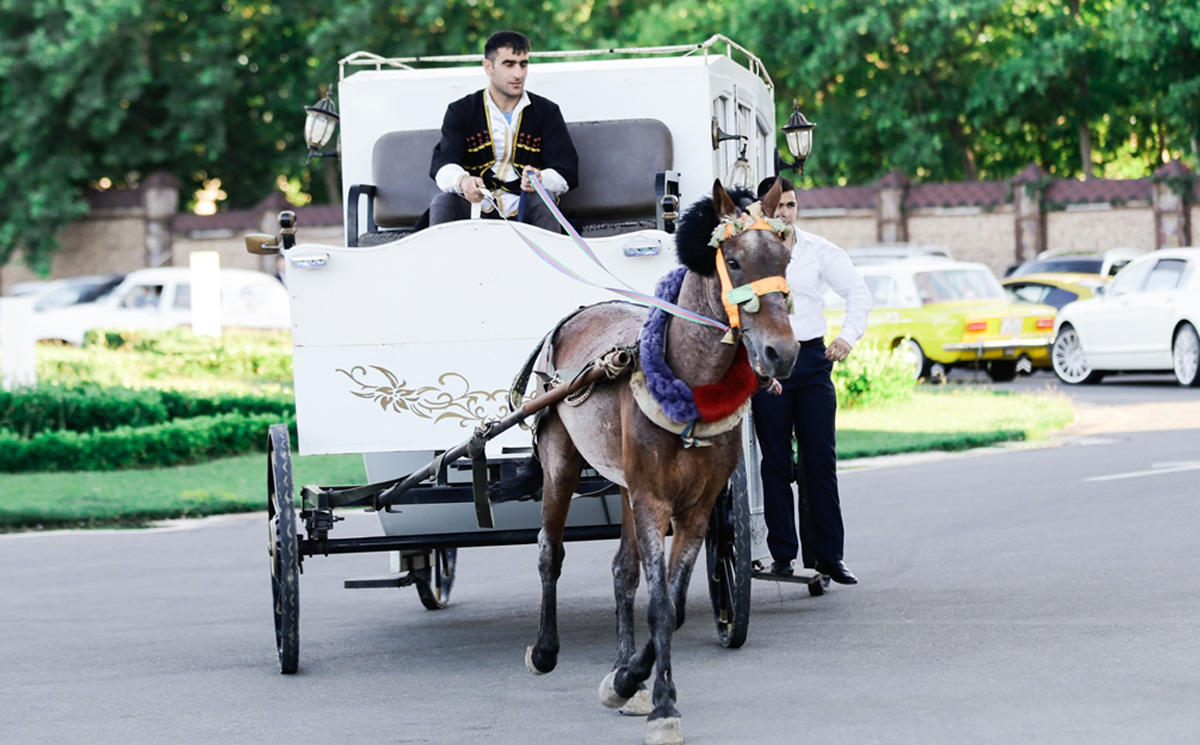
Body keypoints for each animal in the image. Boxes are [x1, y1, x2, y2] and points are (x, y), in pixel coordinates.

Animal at [518, 177, 792, 739]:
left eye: (786, 255)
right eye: (734, 260)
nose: (783, 352)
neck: (691, 383)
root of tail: (578, 313)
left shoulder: (698, 508)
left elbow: (676, 604)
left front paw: (629, 680)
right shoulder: (652, 500)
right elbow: (662, 605)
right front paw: (662, 704)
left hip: (625, 484)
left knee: (622, 571)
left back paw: (624, 666)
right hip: (561, 461)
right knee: (549, 550)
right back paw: (545, 649)